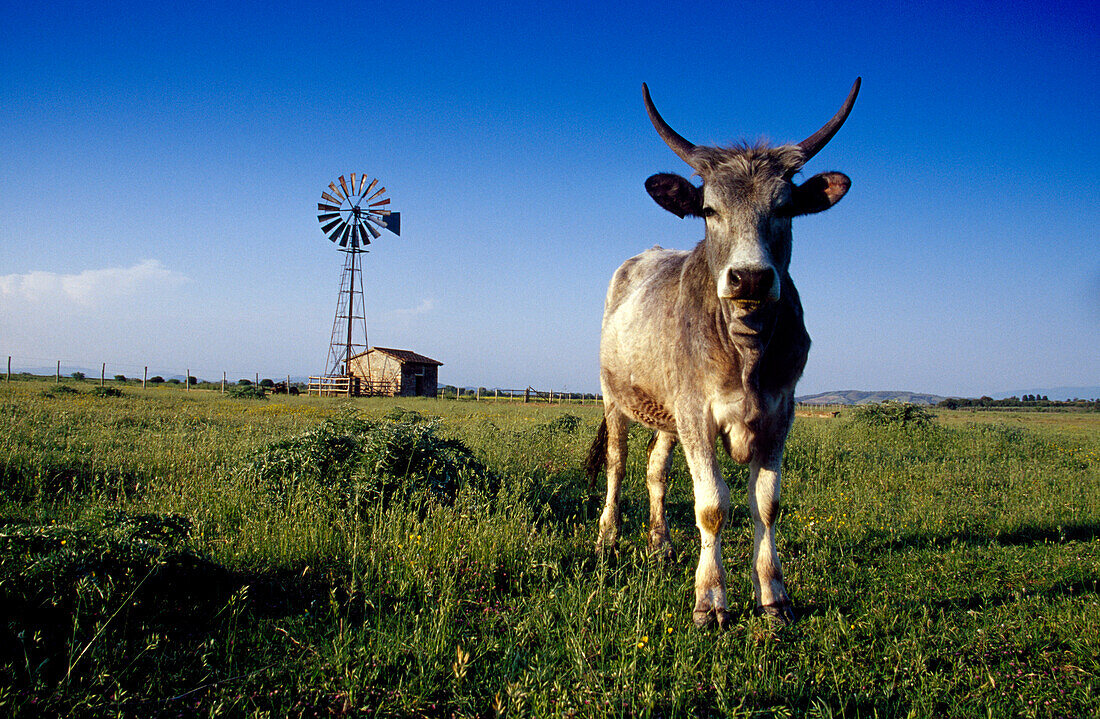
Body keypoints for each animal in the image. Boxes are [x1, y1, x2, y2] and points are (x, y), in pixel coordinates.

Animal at [585, 79, 858, 628]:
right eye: (709, 210)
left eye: (785, 208)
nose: (750, 277)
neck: (745, 349)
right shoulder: (697, 414)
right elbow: (712, 507)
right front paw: (710, 600)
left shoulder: (779, 414)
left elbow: (766, 505)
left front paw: (773, 597)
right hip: (614, 398)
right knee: (618, 465)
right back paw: (607, 539)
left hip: (667, 415)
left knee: (656, 471)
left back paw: (661, 545)